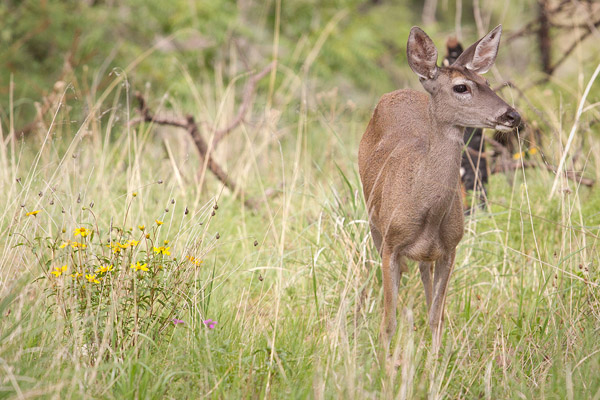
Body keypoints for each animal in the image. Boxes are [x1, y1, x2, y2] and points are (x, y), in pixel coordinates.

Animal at [356, 25, 520, 352]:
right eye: (461, 87)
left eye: (487, 82)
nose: (513, 116)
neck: (426, 212)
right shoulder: (391, 246)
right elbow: (388, 322)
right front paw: (384, 362)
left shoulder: (450, 248)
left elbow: (436, 316)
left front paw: (435, 359)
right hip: (375, 227)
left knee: (425, 279)